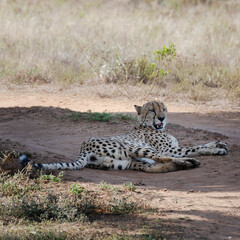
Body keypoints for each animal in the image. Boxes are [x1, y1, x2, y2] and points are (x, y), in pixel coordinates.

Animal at [32, 101, 228, 172]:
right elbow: (194, 147)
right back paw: (187, 162)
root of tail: (83, 146)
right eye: (152, 110)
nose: (162, 118)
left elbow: (198, 146)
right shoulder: (170, 149)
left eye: (164, 109)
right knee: (160, 158)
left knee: (151, 167)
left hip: (124, 163)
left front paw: (218, 145)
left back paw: (184, 165)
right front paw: (217, 147)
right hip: (135, 148)